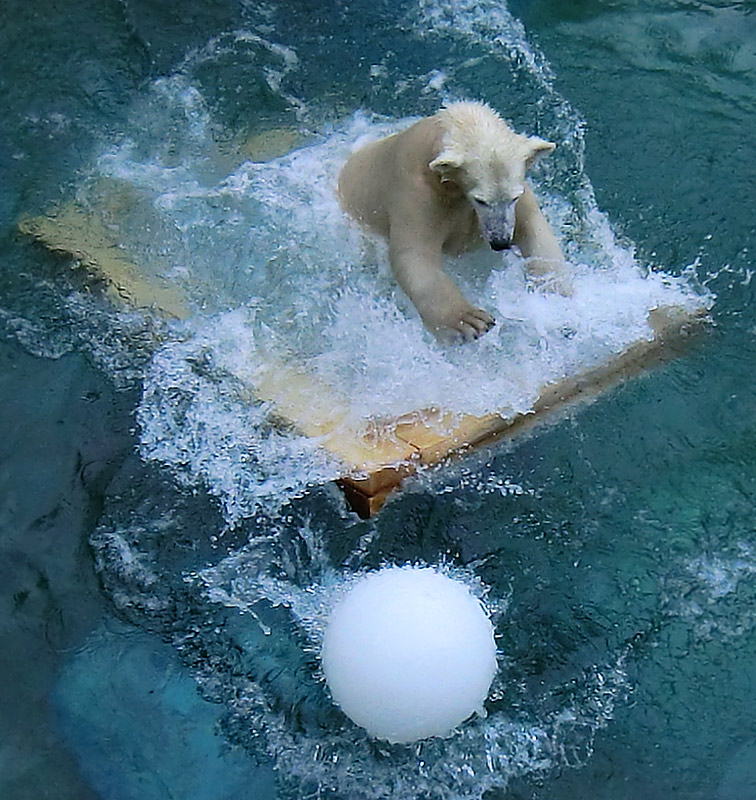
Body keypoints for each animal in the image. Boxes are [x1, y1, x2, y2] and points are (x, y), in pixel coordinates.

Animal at [336, 101, 568, 340]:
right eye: (480, 200)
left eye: (513, 197)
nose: (500, 241)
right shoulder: (415, 194)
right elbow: (414, 254)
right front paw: (470, 320)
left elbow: (534, 230)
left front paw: (556, 293)